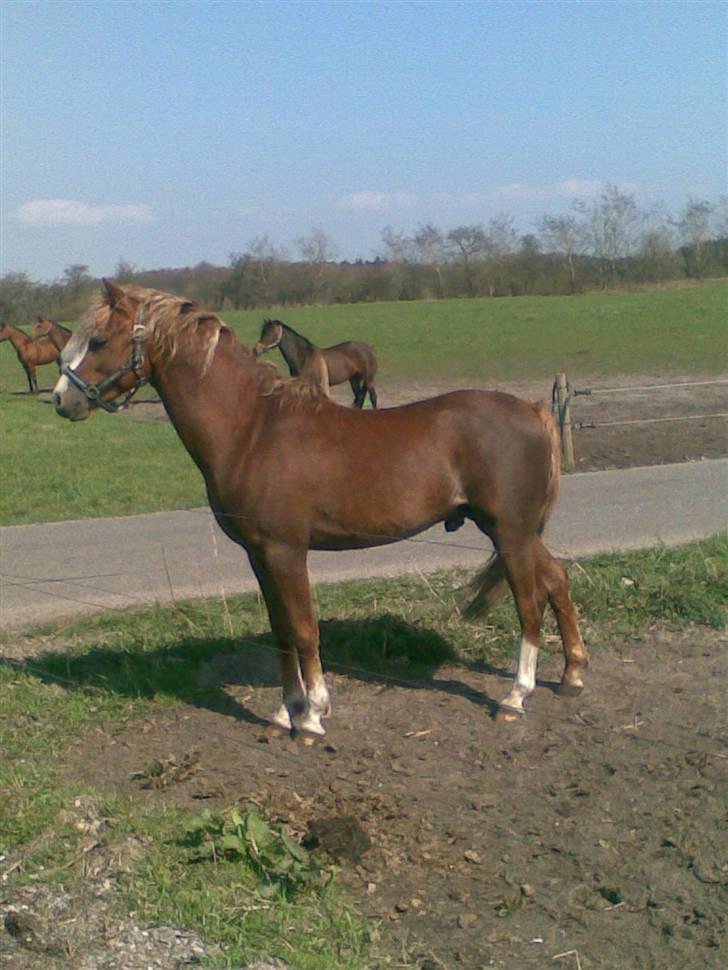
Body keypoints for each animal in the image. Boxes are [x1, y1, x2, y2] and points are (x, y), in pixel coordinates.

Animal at [52, 280, 584, 732]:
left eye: (98, 340)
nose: (61, 401)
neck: (253, 428)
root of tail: (533, 410)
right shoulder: (259, 555)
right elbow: (281, 631)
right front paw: (286, 710)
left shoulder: (286, 551)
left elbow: (305, 629)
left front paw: (312, 714)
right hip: (515, 531)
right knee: (558, 579)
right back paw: (572, 676)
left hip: (509, 531)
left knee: (529, 603)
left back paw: (516, 696)